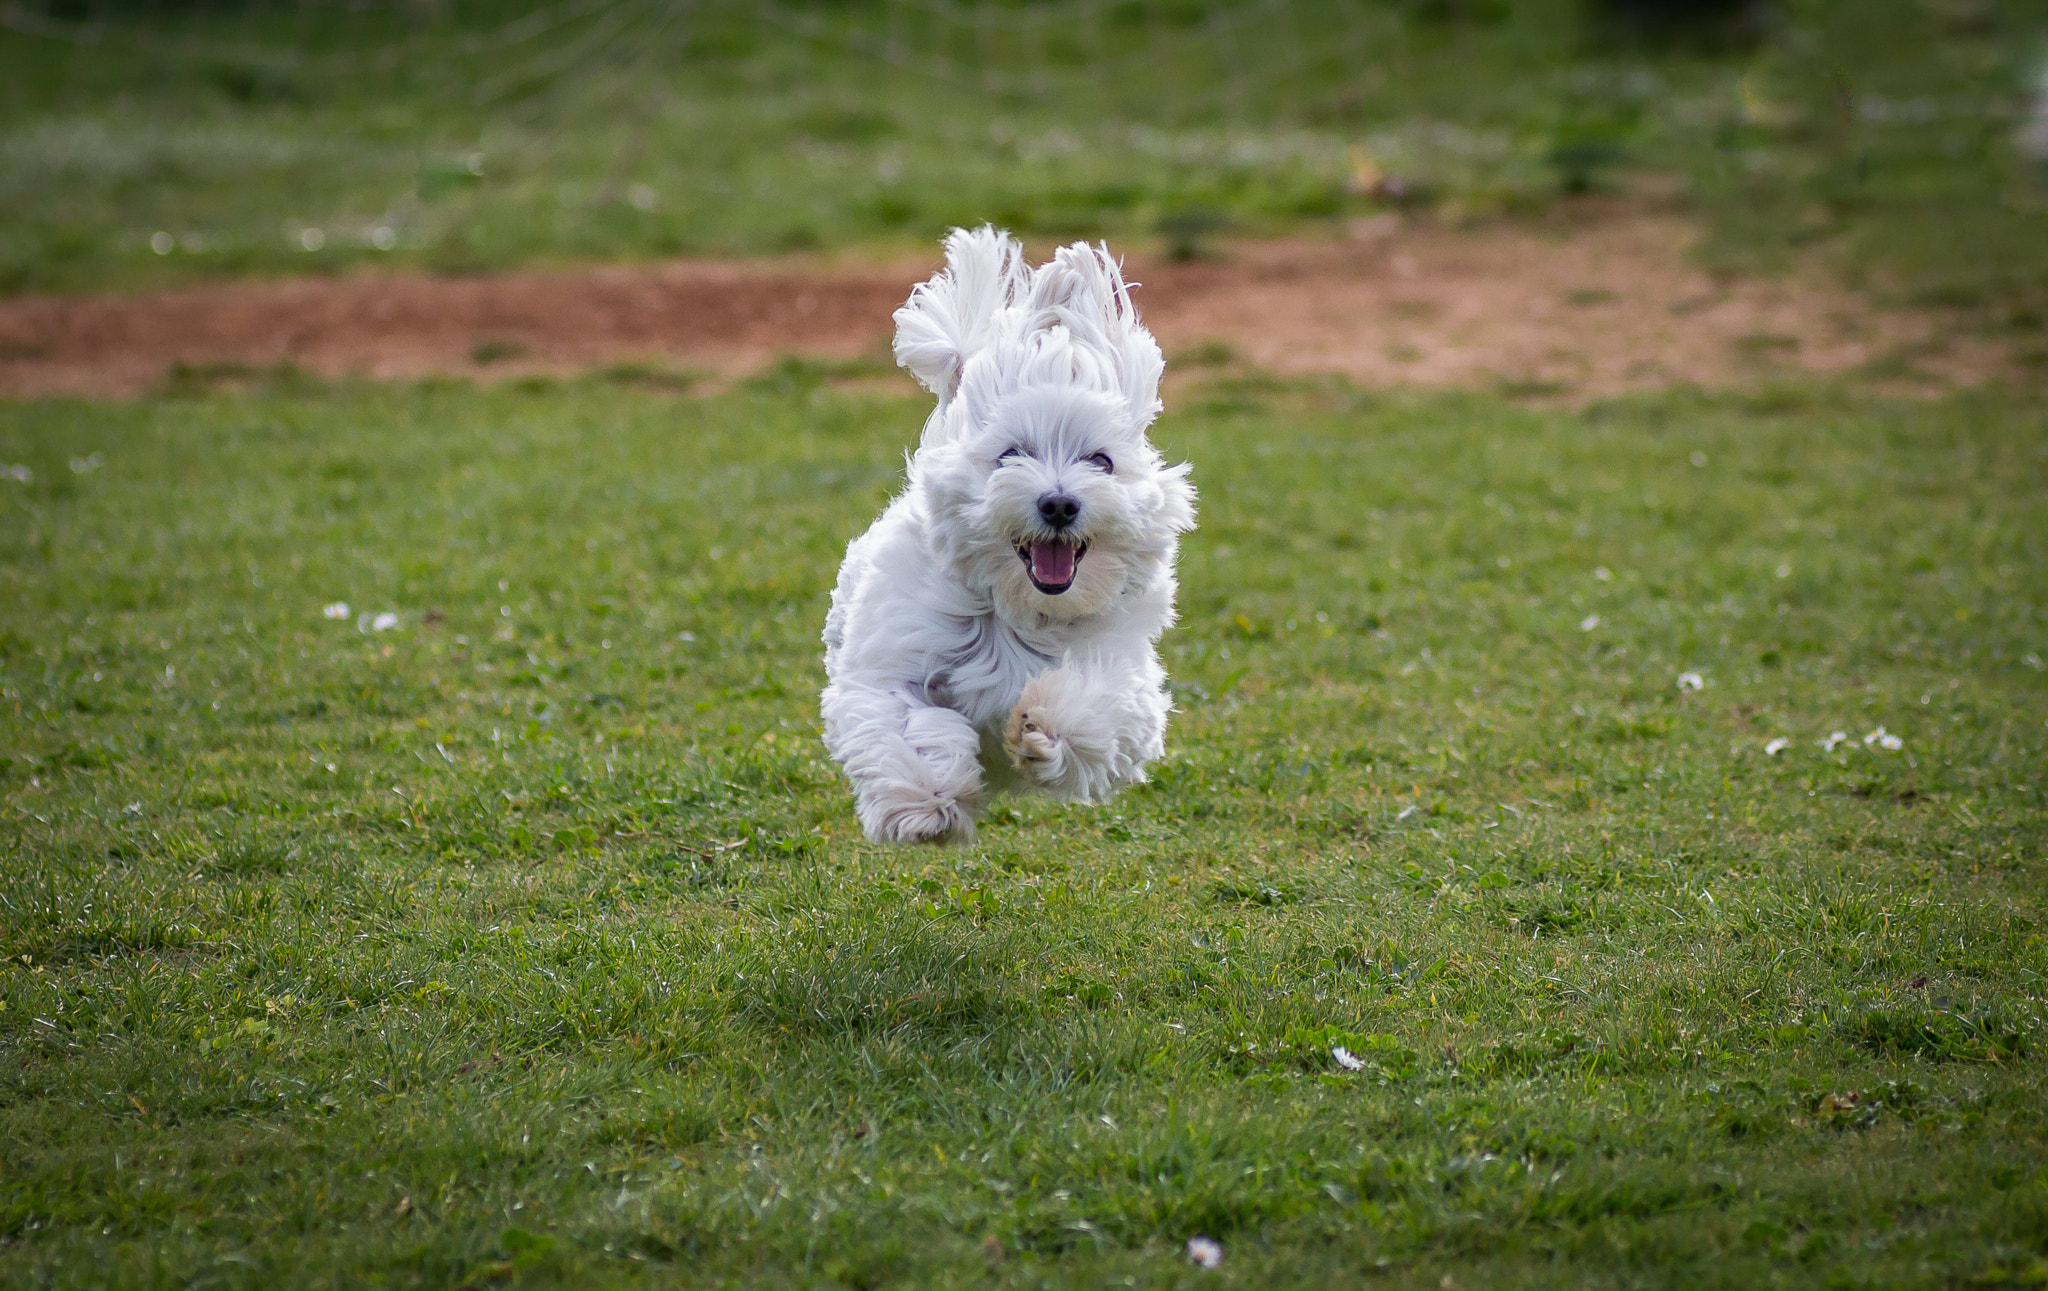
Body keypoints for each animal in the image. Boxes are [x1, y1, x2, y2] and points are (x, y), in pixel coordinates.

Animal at [819, 227, 1196, 844]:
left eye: (1101, 461)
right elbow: (907, 723)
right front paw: (923, 802)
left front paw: (1040, 726)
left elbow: (1098, 707)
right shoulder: (892, 663)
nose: (1059, 502)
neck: (1018, 608)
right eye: (1011, 454)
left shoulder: (1124, 675)